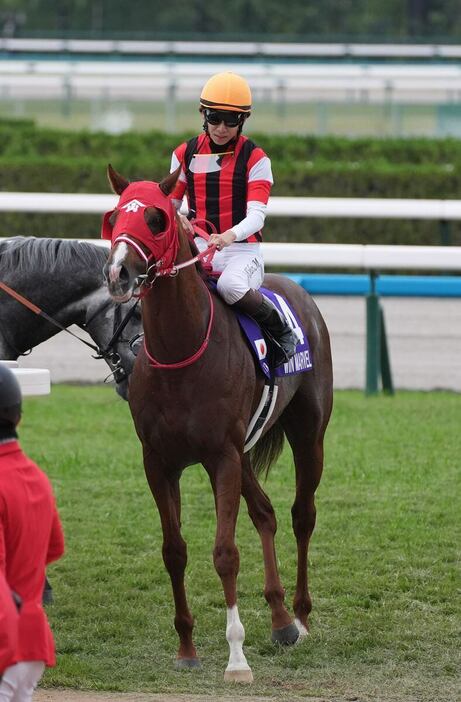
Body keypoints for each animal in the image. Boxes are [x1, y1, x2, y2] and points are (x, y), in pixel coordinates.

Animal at [101, 165, 330, 680]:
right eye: (114, 216)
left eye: (156, 218)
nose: (118, 273)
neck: (180, 351)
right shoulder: (159, 461)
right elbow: (174, 551)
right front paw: (186, 648)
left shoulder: (220, 457)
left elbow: (225, 553)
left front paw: (237, 658)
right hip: (244, 453)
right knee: (265, 512)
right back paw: (280, 620)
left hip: (309, 434)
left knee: (301, 515)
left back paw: (301, 617)